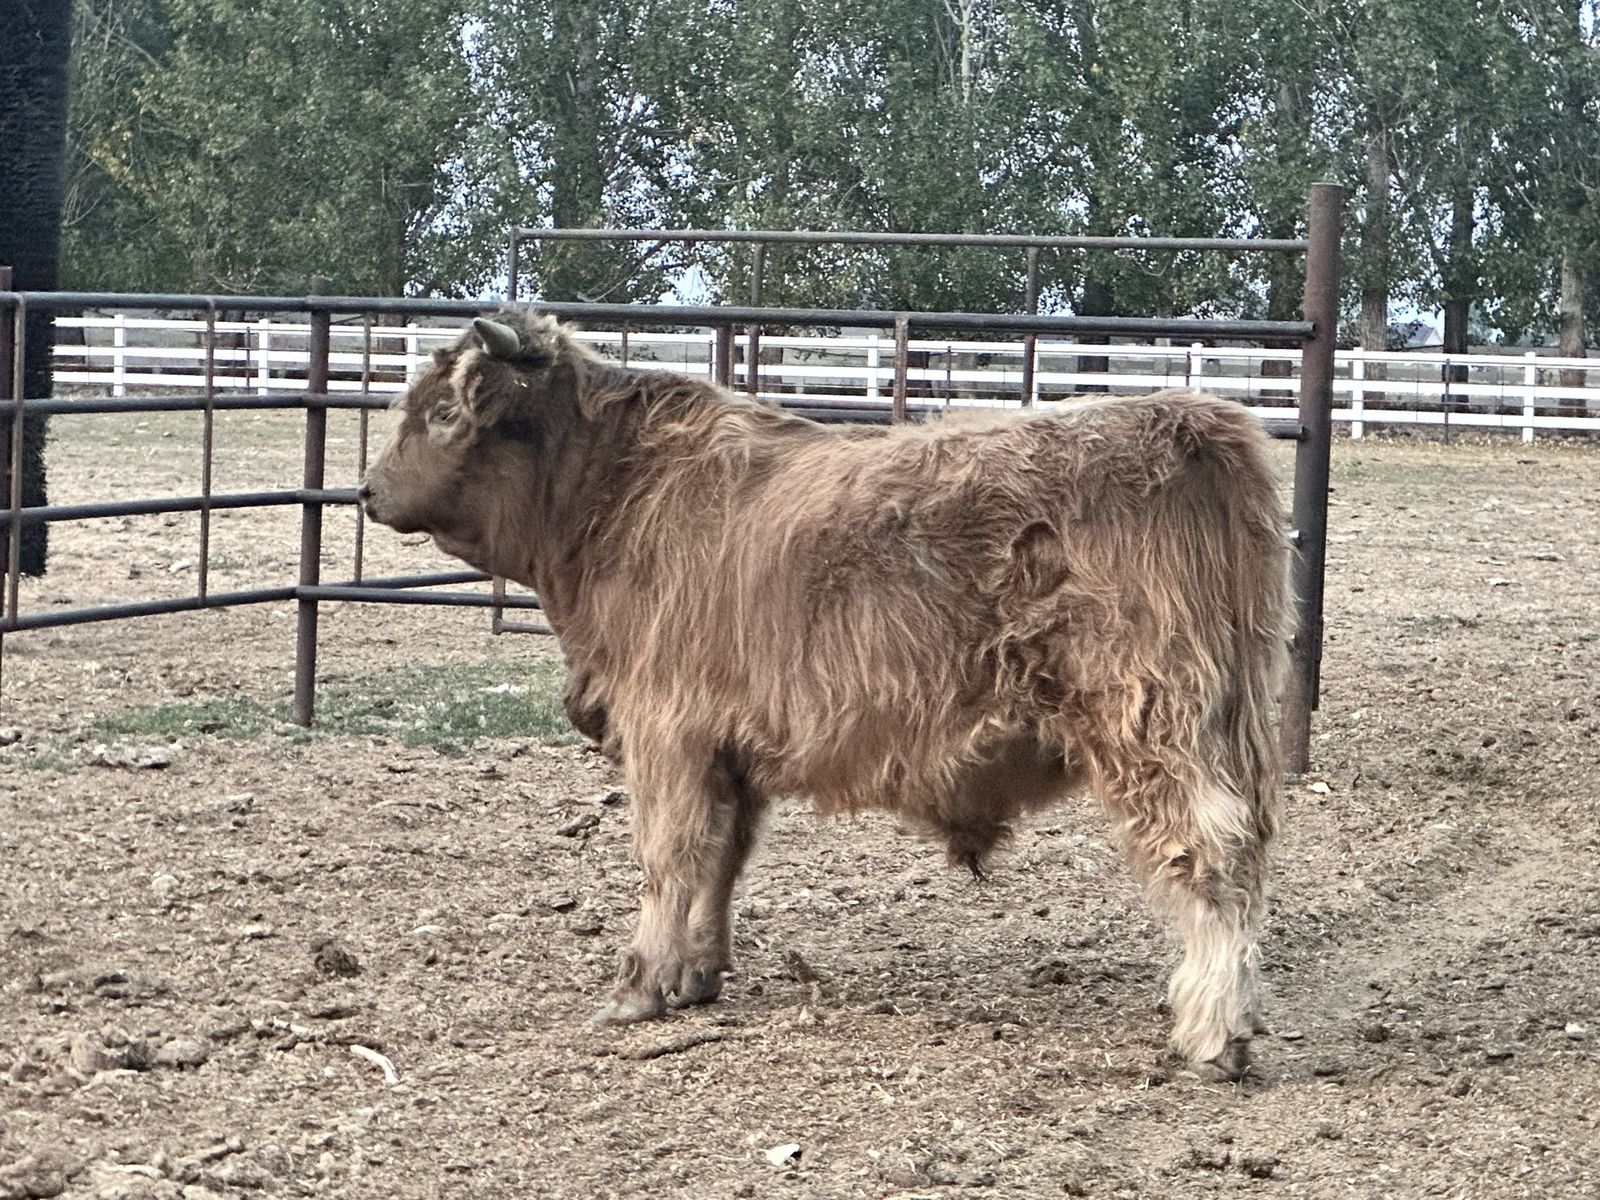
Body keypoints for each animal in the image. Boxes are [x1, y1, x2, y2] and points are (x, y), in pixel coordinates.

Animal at [360, 309, 1292, 1080]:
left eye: (443, 413)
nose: (367, 490)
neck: (619, 496)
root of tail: (1188, 421)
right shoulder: (727, 746)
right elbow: (722, 857)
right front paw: (698, 972)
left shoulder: (666, 729)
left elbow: (668, 856)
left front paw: (639, 986)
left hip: (1151, 723)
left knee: (1210, 853)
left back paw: (1212, 1035)